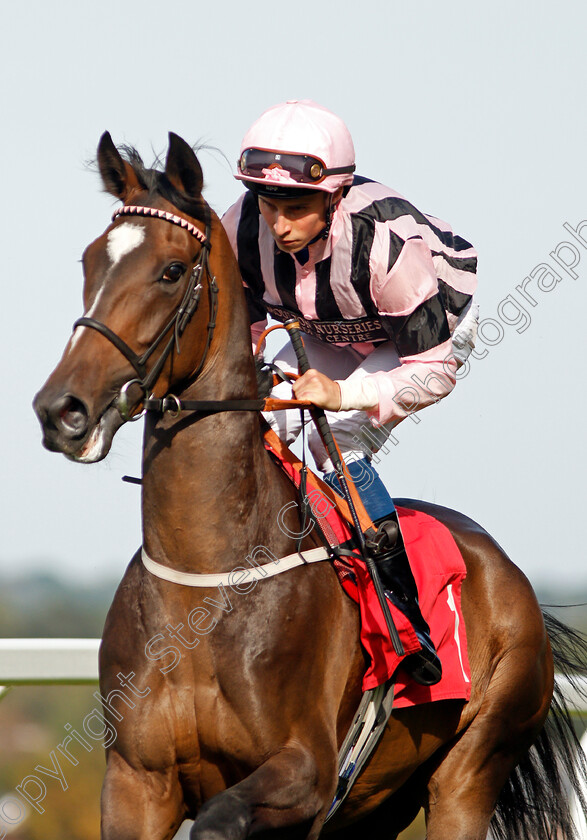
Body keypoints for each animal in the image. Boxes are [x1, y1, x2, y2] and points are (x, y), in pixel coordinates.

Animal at [33, 133, 587, 840]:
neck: (204, 588)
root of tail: (508, 570)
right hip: (377, 803)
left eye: (171, 270)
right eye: (89, 260)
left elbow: (218, 819)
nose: (62, 410)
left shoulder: (307, 772)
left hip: (472, 767)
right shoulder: (136, 782)